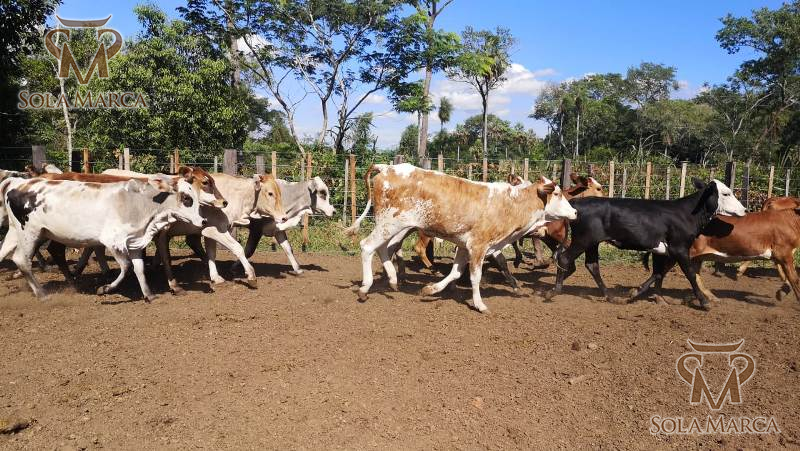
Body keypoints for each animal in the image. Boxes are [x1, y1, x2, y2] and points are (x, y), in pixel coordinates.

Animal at [0, 175, 206, 300]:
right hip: (30, 233)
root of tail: (18, 183)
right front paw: (104, 289)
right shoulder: (113, 242)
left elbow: (139, 268)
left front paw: (149, 295)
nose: (203, 220)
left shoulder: (134, 242)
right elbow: (126, 267)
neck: (138, 202)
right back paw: (43, 294)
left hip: (19, 233)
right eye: (187, 198)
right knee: (22, 260)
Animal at [345, 163, 577, 312]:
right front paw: (480, 304)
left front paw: (430, 289)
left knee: (383, 248)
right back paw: (365, 288)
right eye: (557, 194)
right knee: (367, 246)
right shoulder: (479, 246)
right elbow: (475, 277)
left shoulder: (465, 246)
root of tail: (386, 168)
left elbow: (455, 273)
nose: (574, 212)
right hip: (390, 223)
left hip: (391, 225)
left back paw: (393, 279)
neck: (510, 204)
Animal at [545, 179, 746, 310]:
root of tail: (576, 203)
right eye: (726, 193)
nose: (744, 210)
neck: (687, 213)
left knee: (592, 265)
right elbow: (689, 273)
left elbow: (658, 273)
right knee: (565, 258)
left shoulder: (662, 250)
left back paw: (610, 296)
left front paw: (636, 293)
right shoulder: (680, 247)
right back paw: (554, 291)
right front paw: (704, 302)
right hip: (583, 239)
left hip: (592, 243)